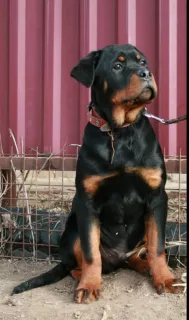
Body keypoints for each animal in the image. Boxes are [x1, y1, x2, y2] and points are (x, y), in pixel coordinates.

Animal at [11, 44, 183, 302]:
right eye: (117, 66)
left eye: (143, 62)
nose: (146, 74)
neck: (119, 132)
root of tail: (119, 259)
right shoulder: (87, 202)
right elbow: (92, 253)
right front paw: (89, 286)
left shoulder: (157, 197)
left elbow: (158, 246)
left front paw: (165, 278)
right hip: (72, 231)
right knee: (76, 264)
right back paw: (84, 277)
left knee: (136, 256)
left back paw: (146, 267)